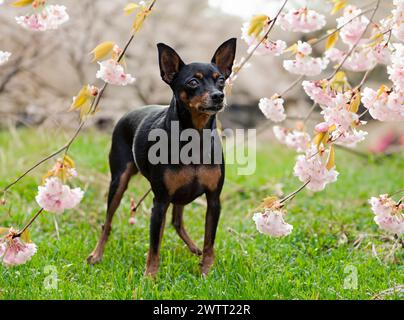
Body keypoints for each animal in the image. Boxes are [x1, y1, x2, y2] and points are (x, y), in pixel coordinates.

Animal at [87, 38, 235, 278]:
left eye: (221, 80)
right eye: (193, 82)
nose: (218, 96)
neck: (194, 137)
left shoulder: (214, 201)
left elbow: (209, 242)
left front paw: (206, 272)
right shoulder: (160, 202)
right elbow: (154, 246)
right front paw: (150, 277)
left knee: (177, 221)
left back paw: (194, 248)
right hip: (119, 181)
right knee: (107, 223)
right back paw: (96, 255)